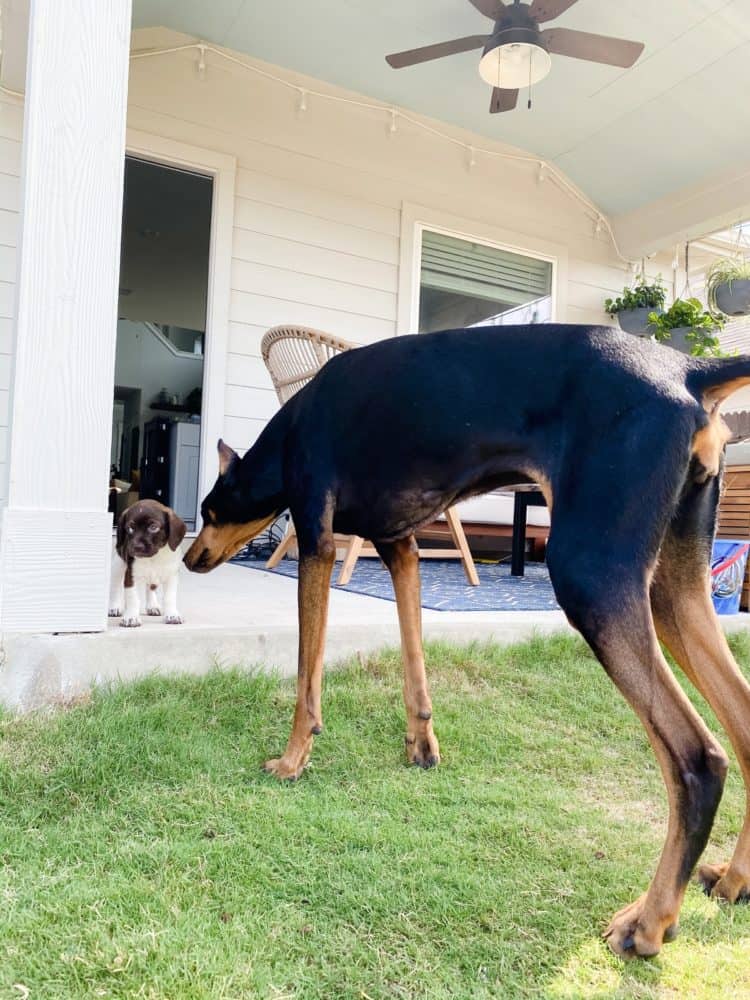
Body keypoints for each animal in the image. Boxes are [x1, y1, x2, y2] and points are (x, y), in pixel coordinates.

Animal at [188, 324, 750, 956]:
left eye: (211, 510)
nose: (189, 557)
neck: (293, 424)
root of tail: (686, 369)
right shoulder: (401, 546)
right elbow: (413, 658)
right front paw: (421, 745)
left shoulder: (317, 541)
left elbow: (308, 675)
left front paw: (292, 759)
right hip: (671, 588)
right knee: (745, 726)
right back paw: (732, 880)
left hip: (593, 573)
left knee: (700, 760)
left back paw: (649, 922)